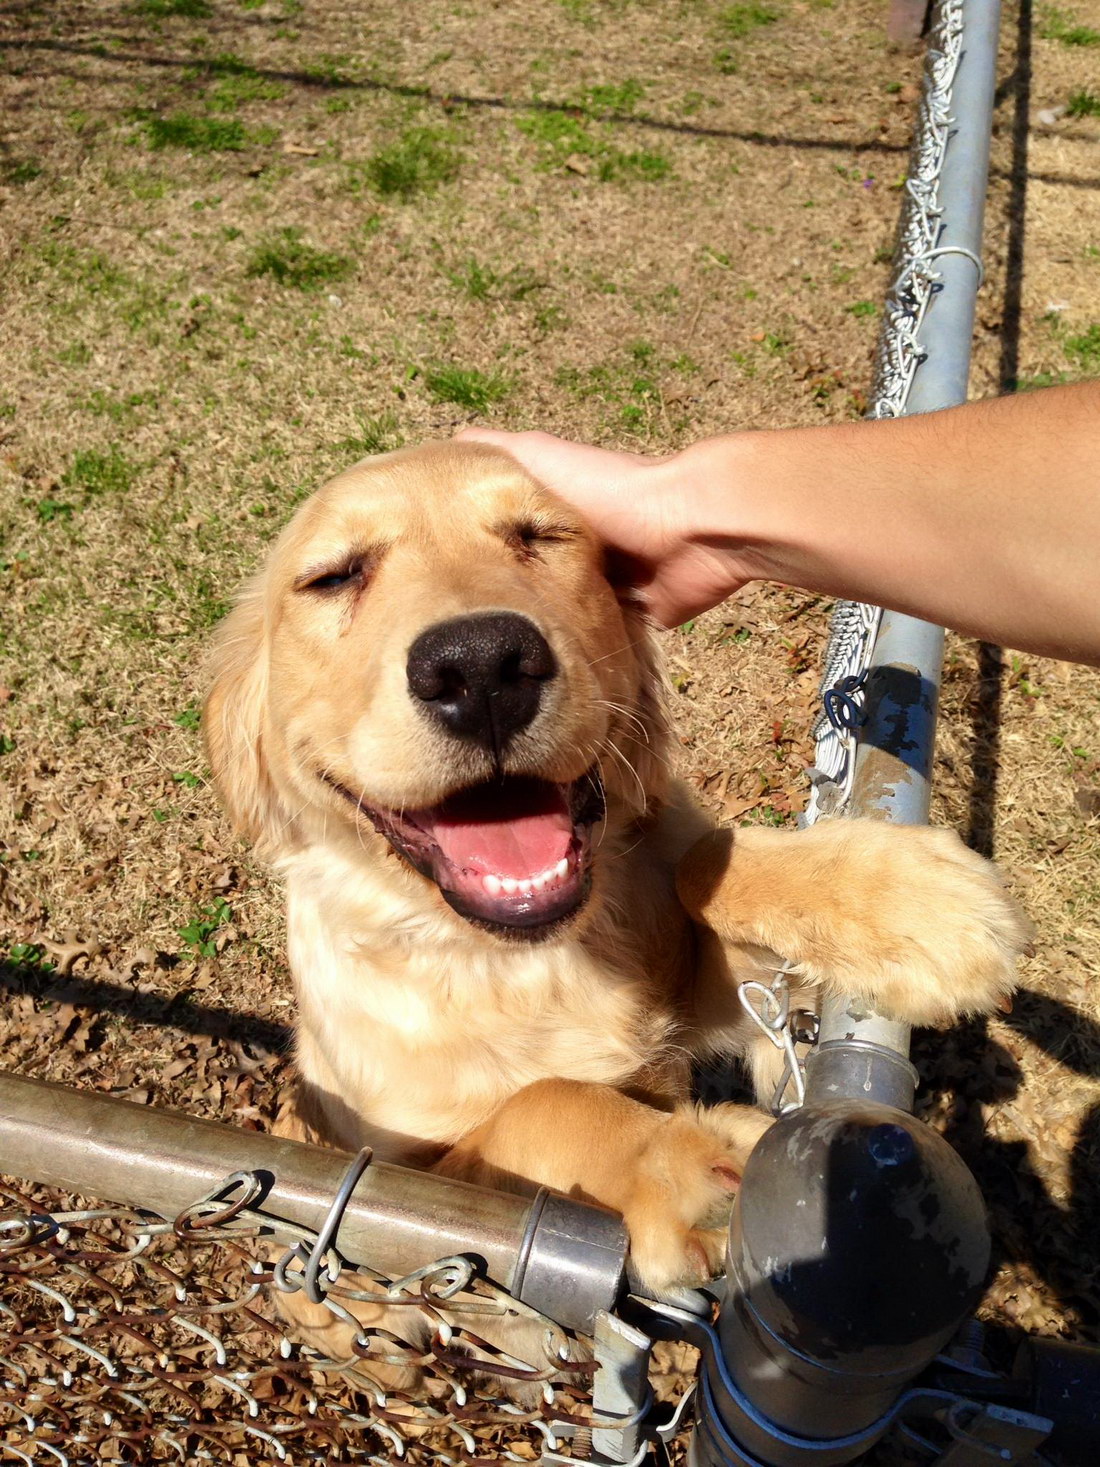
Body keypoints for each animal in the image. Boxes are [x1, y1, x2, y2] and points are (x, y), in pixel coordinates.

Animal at [204, 439, 1029, 1347]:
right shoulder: (394, 1191)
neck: (524, 960)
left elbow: (704, 860)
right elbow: (536, 1103)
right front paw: (676, 1166)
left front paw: (910, 902)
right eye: (333, 576)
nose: (481, 665)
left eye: (544, 534)